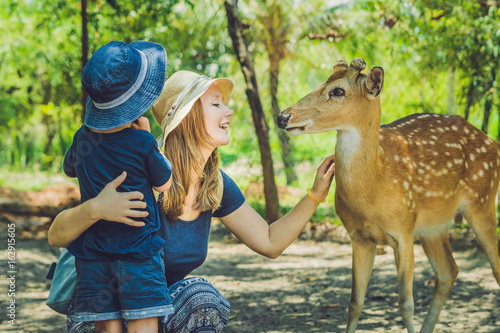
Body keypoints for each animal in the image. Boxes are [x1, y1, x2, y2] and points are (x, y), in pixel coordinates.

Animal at [278, 58, 500, 330]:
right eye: (321, 82)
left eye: (338, 90)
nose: (282, 116)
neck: (374, 193)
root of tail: (494, 143)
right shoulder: (359, 238)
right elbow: (355, 303)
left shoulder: (403, 231)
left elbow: (406, 304)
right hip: (433, 226)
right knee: (449, 271)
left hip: (482, 201)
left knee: (493, 268)